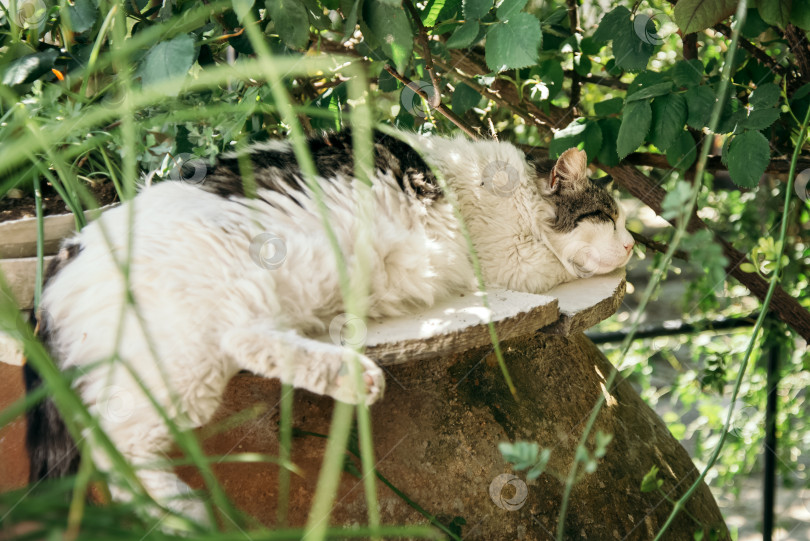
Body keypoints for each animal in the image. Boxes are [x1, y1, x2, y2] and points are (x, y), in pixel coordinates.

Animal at [23, 129, 632, 520]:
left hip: (218, 332)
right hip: (184, 354)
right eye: (609, 216)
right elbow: (552, 265)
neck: (503, 189)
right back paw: (182, 512)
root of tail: (67, 254)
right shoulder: (508, 261)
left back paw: (354, 379)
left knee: (239, 345)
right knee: (109, 443)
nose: (632, 245)